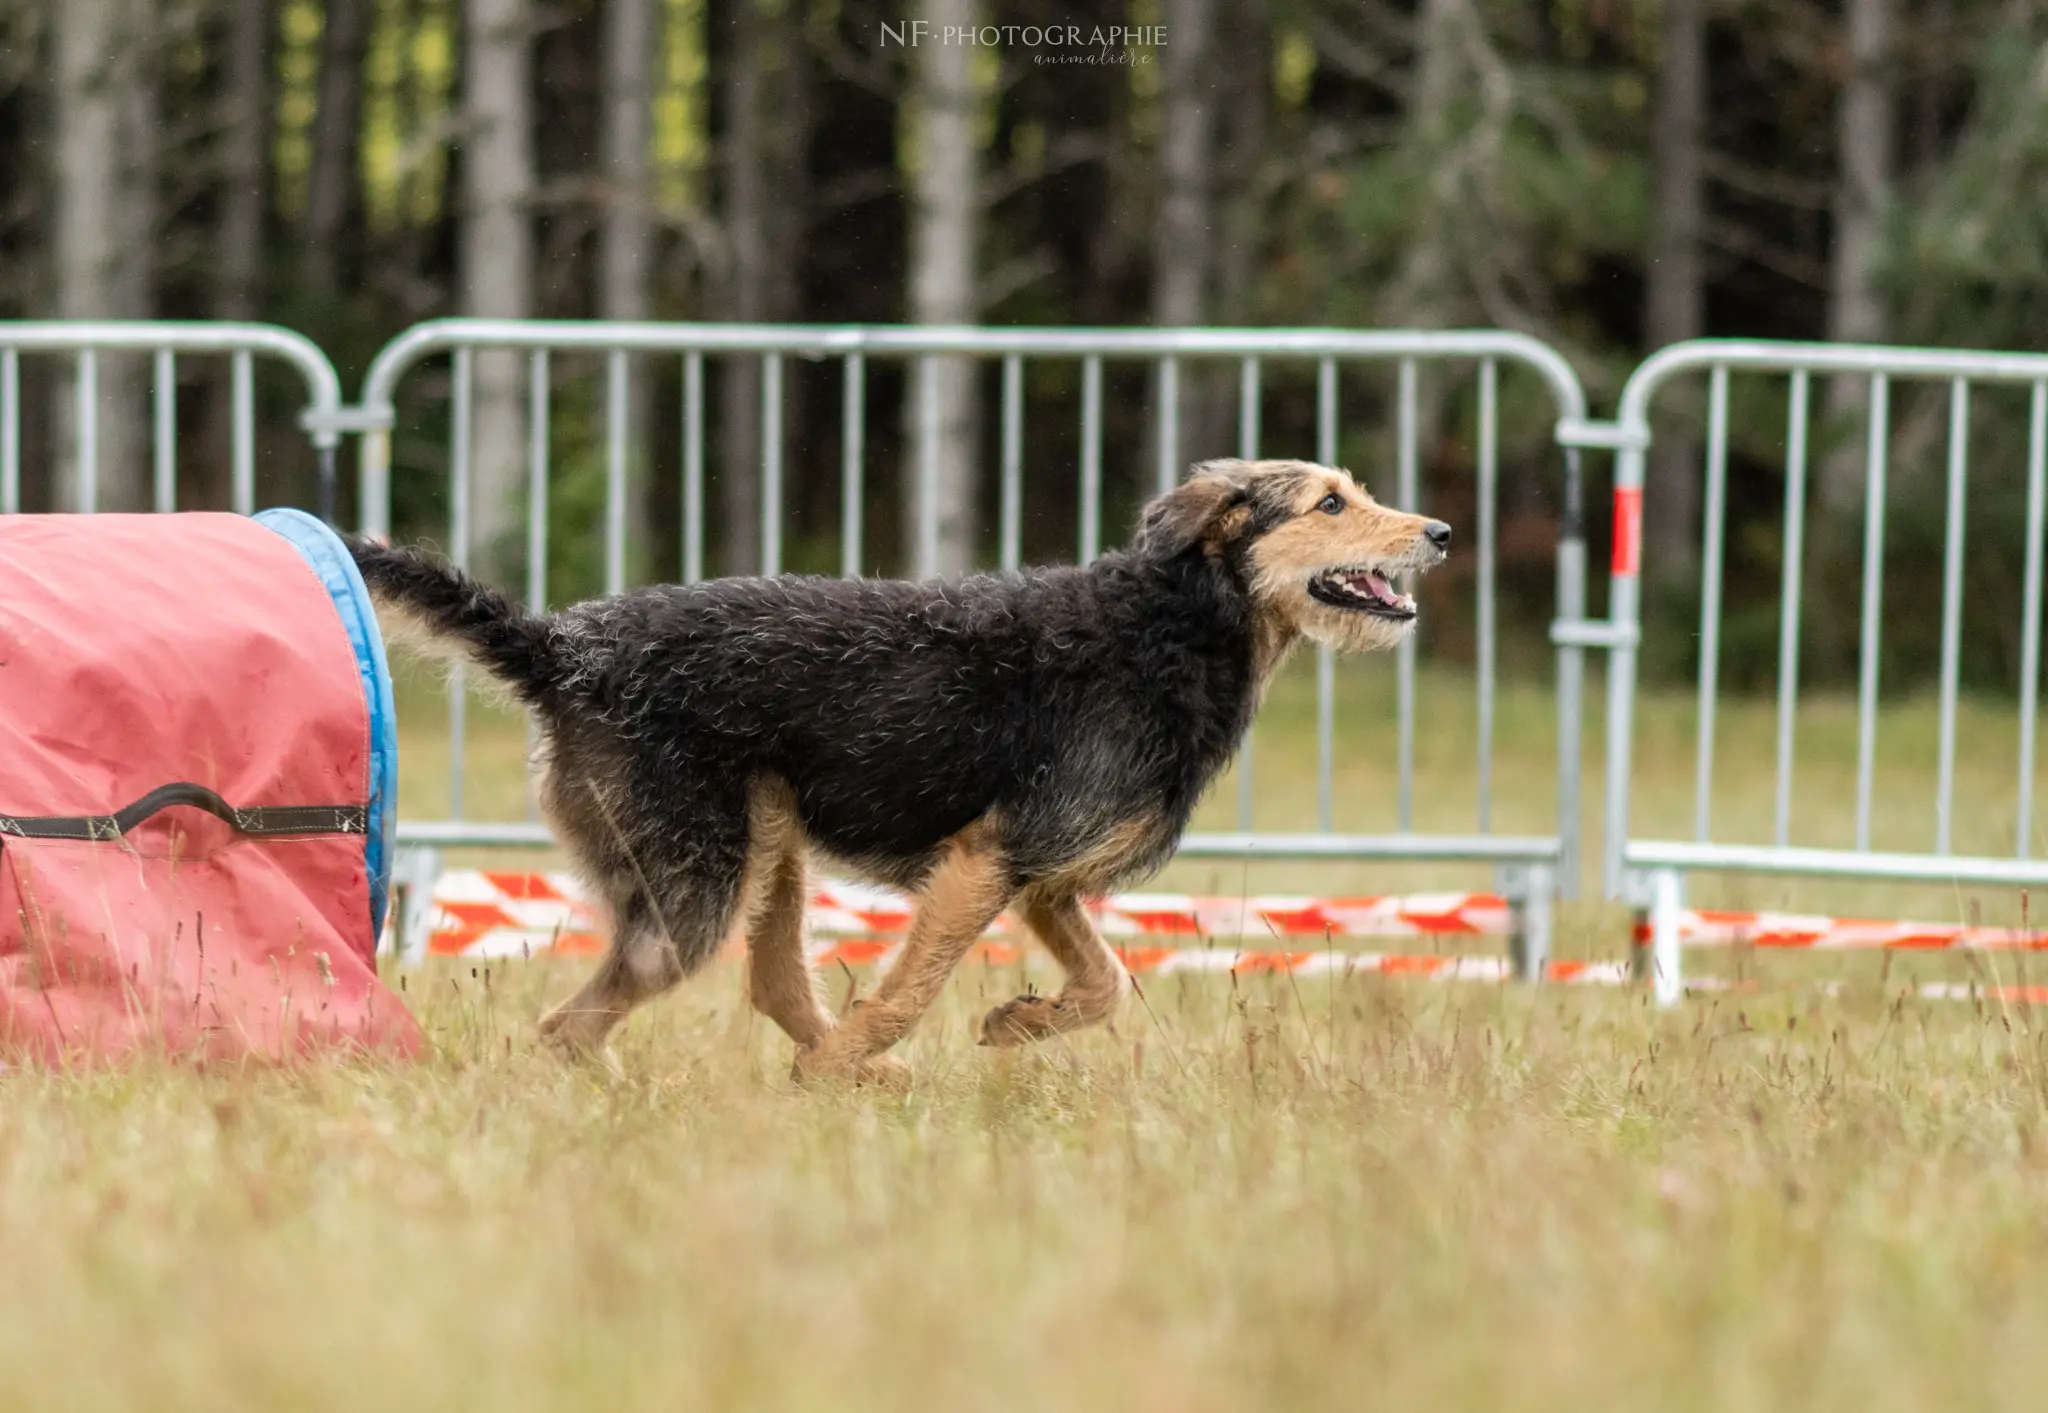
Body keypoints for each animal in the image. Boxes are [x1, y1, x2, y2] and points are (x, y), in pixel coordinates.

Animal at [344, 458, 1449, 1081]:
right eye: (1330, 502)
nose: (1439, 531)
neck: (1173, 623)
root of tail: (564, 649)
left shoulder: (1045, 879)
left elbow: (1107, 984)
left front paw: (1019, 1022)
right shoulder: (986, 862)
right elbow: (911, 991)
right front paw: (850, 1059)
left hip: (765, 847)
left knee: (765, 982)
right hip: (692, 889)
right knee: (568, 1025)